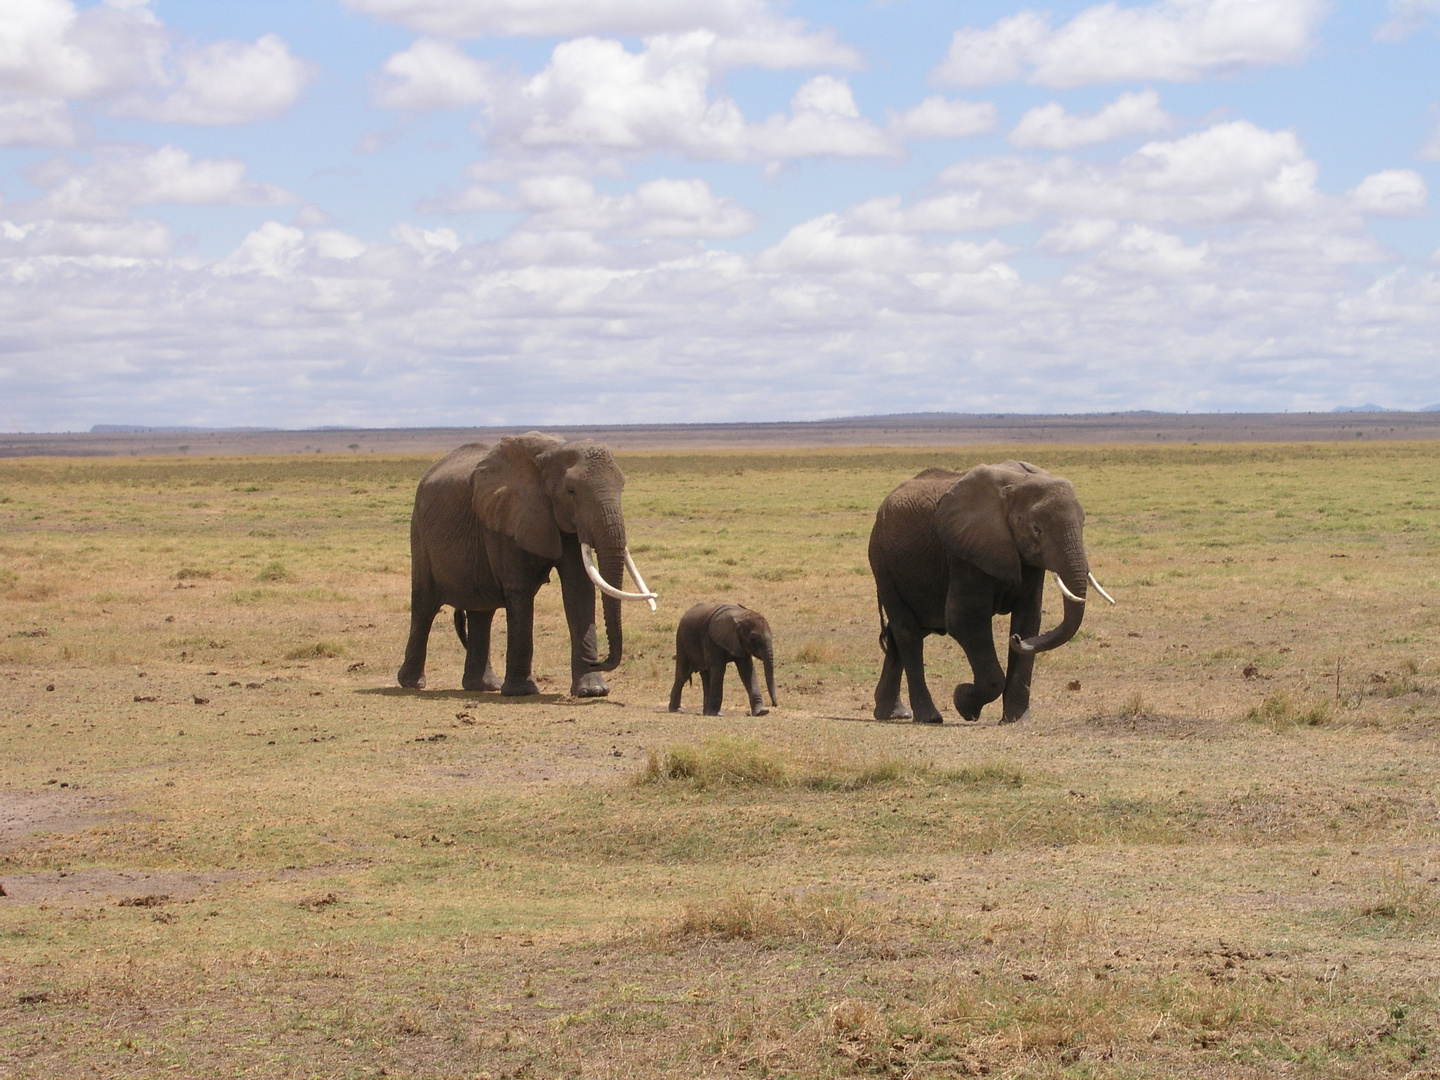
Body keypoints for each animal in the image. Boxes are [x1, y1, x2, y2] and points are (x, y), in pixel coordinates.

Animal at [400, 434, 659, 696]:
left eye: (622, 487)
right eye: (571, 490)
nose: (598, 661)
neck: (551, 453)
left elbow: (579, 589)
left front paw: (592, 690)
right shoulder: (508, 516)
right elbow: (521, 590)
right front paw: (522, 691)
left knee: (482, 611)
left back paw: (484, 686)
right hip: (419, 532)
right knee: (425, 605)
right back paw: (412, 683)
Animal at [864, 457, 1111, 728]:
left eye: (1083, 522)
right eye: (1037, 528)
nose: (1015, 640)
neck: (1014, 487)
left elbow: (1029, 618)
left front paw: (1016, 720)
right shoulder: (965, 552)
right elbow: (964, 619)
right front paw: (963, 702)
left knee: (902, 633)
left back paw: (893, 714)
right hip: (883, 562)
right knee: (907, 631)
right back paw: (928, 717)